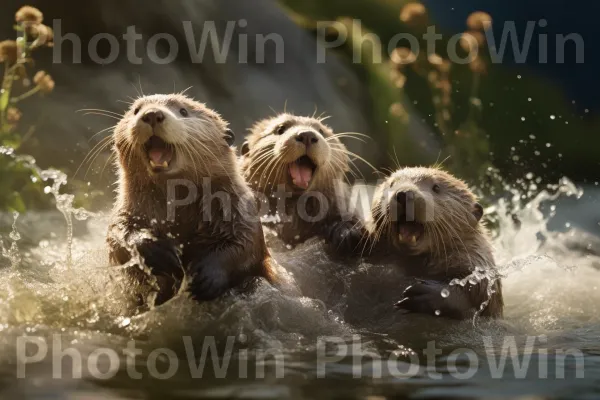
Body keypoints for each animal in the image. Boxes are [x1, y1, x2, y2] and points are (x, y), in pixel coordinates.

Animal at [106, 94, 276, 306]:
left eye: (183, 111)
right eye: (136, 110)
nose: (152, 114)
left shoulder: (239, 209)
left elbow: (247, 245)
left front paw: (207, 276)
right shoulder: (128, 210)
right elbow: (117, 235)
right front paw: (157, 252)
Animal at [368, 166, 504, 318]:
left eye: (436, 188)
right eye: (392, 184)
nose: (403, 193)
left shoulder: (477, 261)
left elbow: (479, 291)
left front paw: (427, 294)